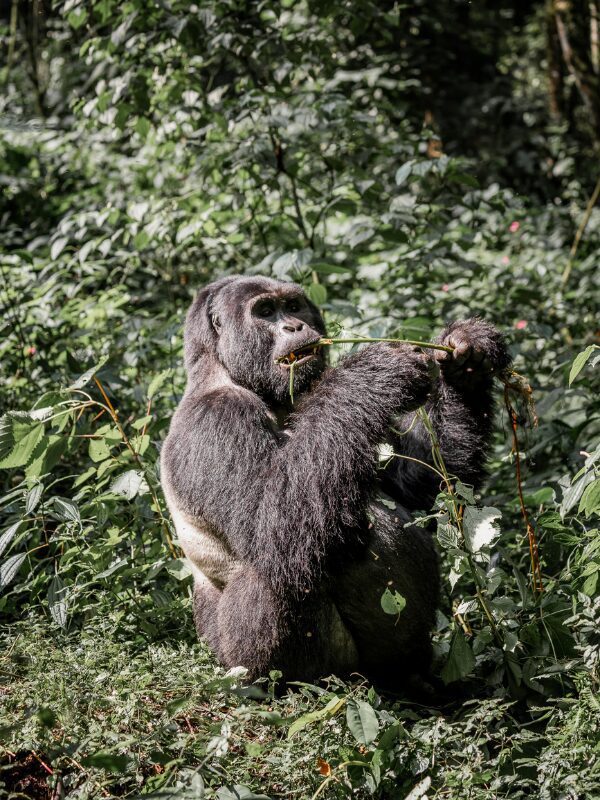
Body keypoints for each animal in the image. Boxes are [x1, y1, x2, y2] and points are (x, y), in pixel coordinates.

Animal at [160, 275, 510, 685]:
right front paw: (372, 373)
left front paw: (467, 364)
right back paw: (294, 685)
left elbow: (423, 489)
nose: (295, 327)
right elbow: (270, 527)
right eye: (265, 312)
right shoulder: (216, 417)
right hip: (240, 663)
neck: (221, 369)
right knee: (277, 571)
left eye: (294, 306)